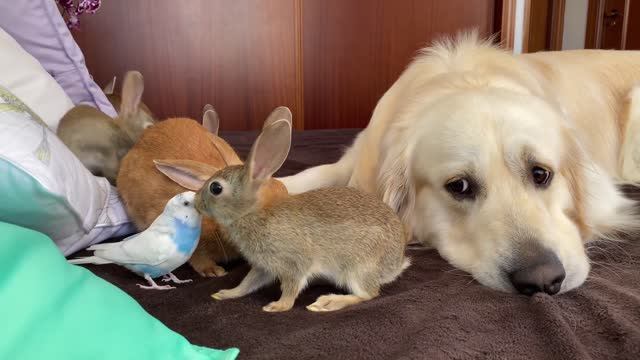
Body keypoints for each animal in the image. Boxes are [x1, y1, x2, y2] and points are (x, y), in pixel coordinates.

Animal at [278, 32, 640, 296]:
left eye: (541, 173)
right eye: (460, 186)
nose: (541, 279)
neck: (466, 77)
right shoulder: (356, 159)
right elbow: (305, 176)